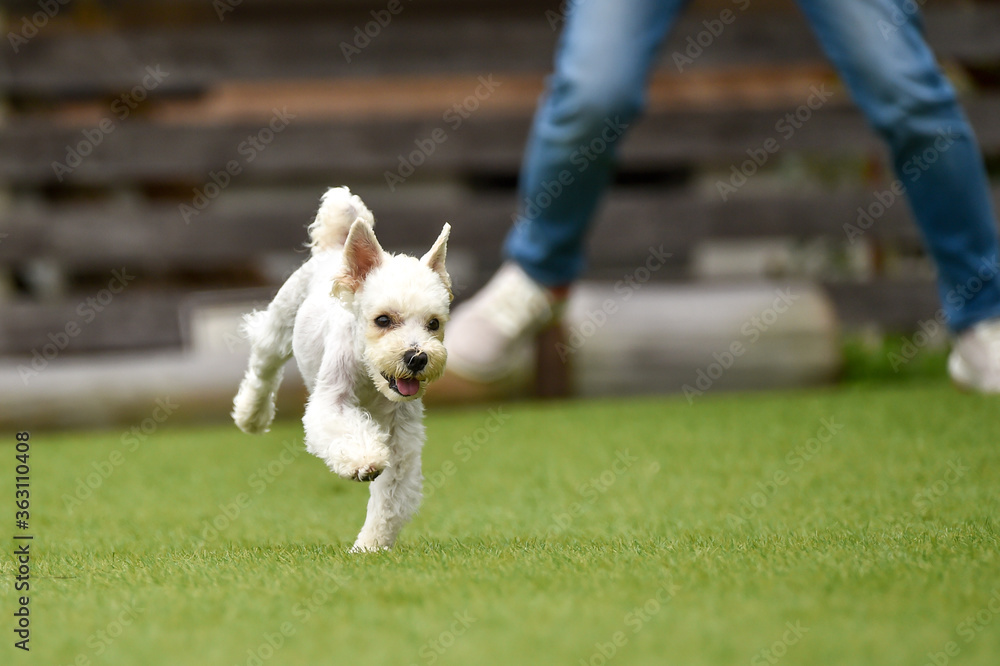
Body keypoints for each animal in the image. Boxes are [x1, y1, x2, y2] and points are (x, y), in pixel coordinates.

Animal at [232, 187, 452, 548]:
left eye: (434, 323)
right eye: (382, 320)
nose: (417, 357)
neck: (371, 381)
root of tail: (335, 247)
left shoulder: (401, 437)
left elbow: (390, 497)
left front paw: (370, 546)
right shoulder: (331, 402)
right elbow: (346, 430)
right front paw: (364, 461)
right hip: (278, 327)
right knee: (263, 369)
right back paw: (251, 415)